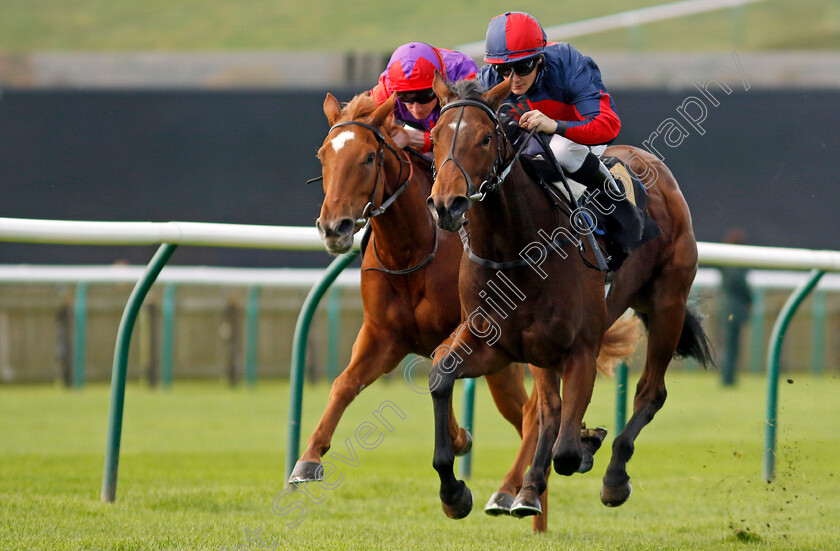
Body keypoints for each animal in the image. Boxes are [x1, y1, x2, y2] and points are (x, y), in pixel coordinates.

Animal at [296, 92, 636, 532]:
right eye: (324, 156)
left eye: (369, 157)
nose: (333, 227)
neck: (415, 248)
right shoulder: (383, 337)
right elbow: (345, 384)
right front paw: (308, 459)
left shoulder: (473, 331)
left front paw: (459, 449)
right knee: (529, 412)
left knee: (532, 412)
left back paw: (516, 490)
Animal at [426, 74, 708, 520]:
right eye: (435, 135)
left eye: (486, 138)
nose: (445, 205)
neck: (516, 250)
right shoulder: (495, 344)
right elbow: (441, 374)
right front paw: (454, 493)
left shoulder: (581, 351)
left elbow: (568, 453)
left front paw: (588, 445)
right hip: (543, 349)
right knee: (549, 409)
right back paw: (526, 491)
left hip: (668, 304)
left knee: (651, 391)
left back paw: (613, 477)